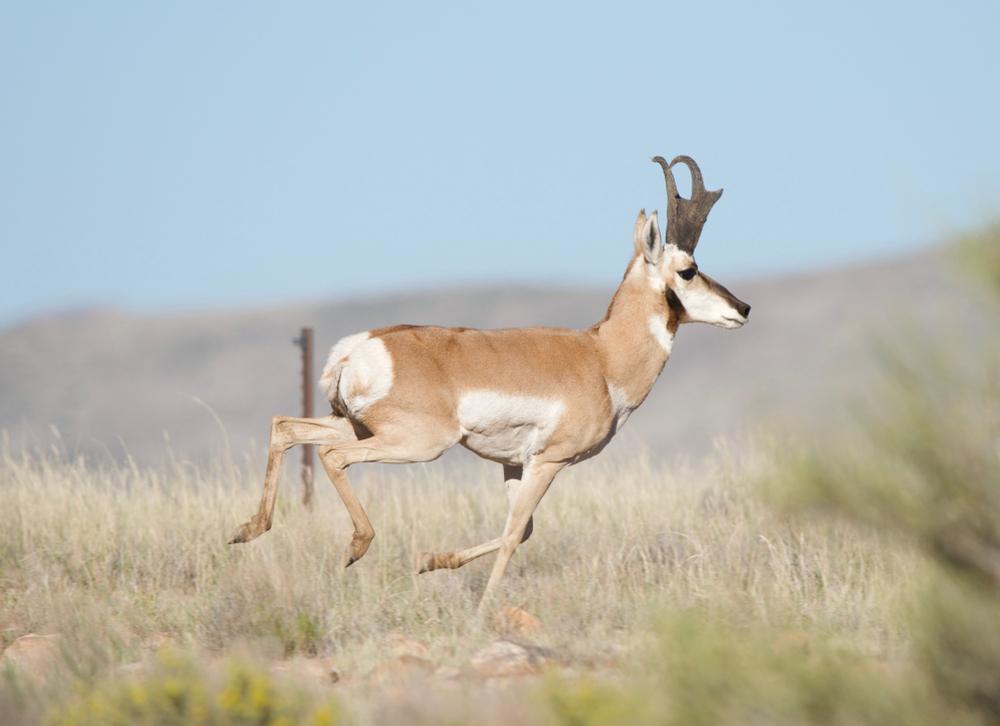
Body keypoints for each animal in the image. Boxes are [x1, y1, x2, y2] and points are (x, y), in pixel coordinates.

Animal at [232, 155, 752, 608]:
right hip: (416, 443)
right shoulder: (547, 462)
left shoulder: (513, 466)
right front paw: (483, 611)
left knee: (286, 427)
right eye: (688, 270)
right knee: (332, 456)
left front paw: (429, 560)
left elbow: (518, 532)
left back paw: (248, 530)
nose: (743, 308)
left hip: (356, 425)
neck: (601, 356)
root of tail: (361, 347)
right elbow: (514, 534)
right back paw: (355, 547)